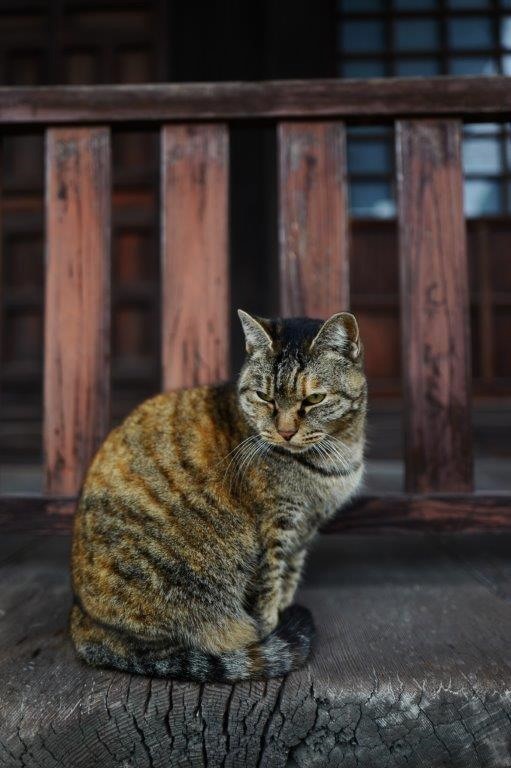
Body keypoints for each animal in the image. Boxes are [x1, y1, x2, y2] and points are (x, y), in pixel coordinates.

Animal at [72, 308, 368, 680]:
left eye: (314, 399)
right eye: (264, 397)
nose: (285, 432)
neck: (334, 457)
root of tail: (84, 622)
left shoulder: (301, 533)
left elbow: (288, 582)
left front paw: (284, 611)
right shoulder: (274, 530)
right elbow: (269, 593)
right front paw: (272, 628)